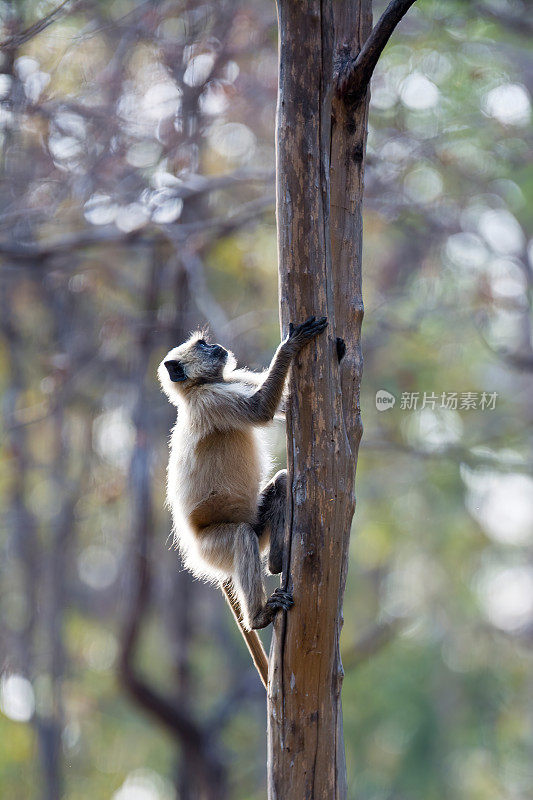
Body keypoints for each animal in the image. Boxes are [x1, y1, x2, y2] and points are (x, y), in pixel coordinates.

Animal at [156, 316, 326, 684]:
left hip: (254, 524)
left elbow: (280, 407)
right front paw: (290, 346)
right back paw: (260, 615)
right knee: (241, 537)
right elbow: (261, 411)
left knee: (282, 482)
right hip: (212, 548)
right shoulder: (212, 398)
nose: (216, 346)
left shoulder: (228, 383)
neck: (195, 390)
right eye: (202, 345)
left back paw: (276, 562)